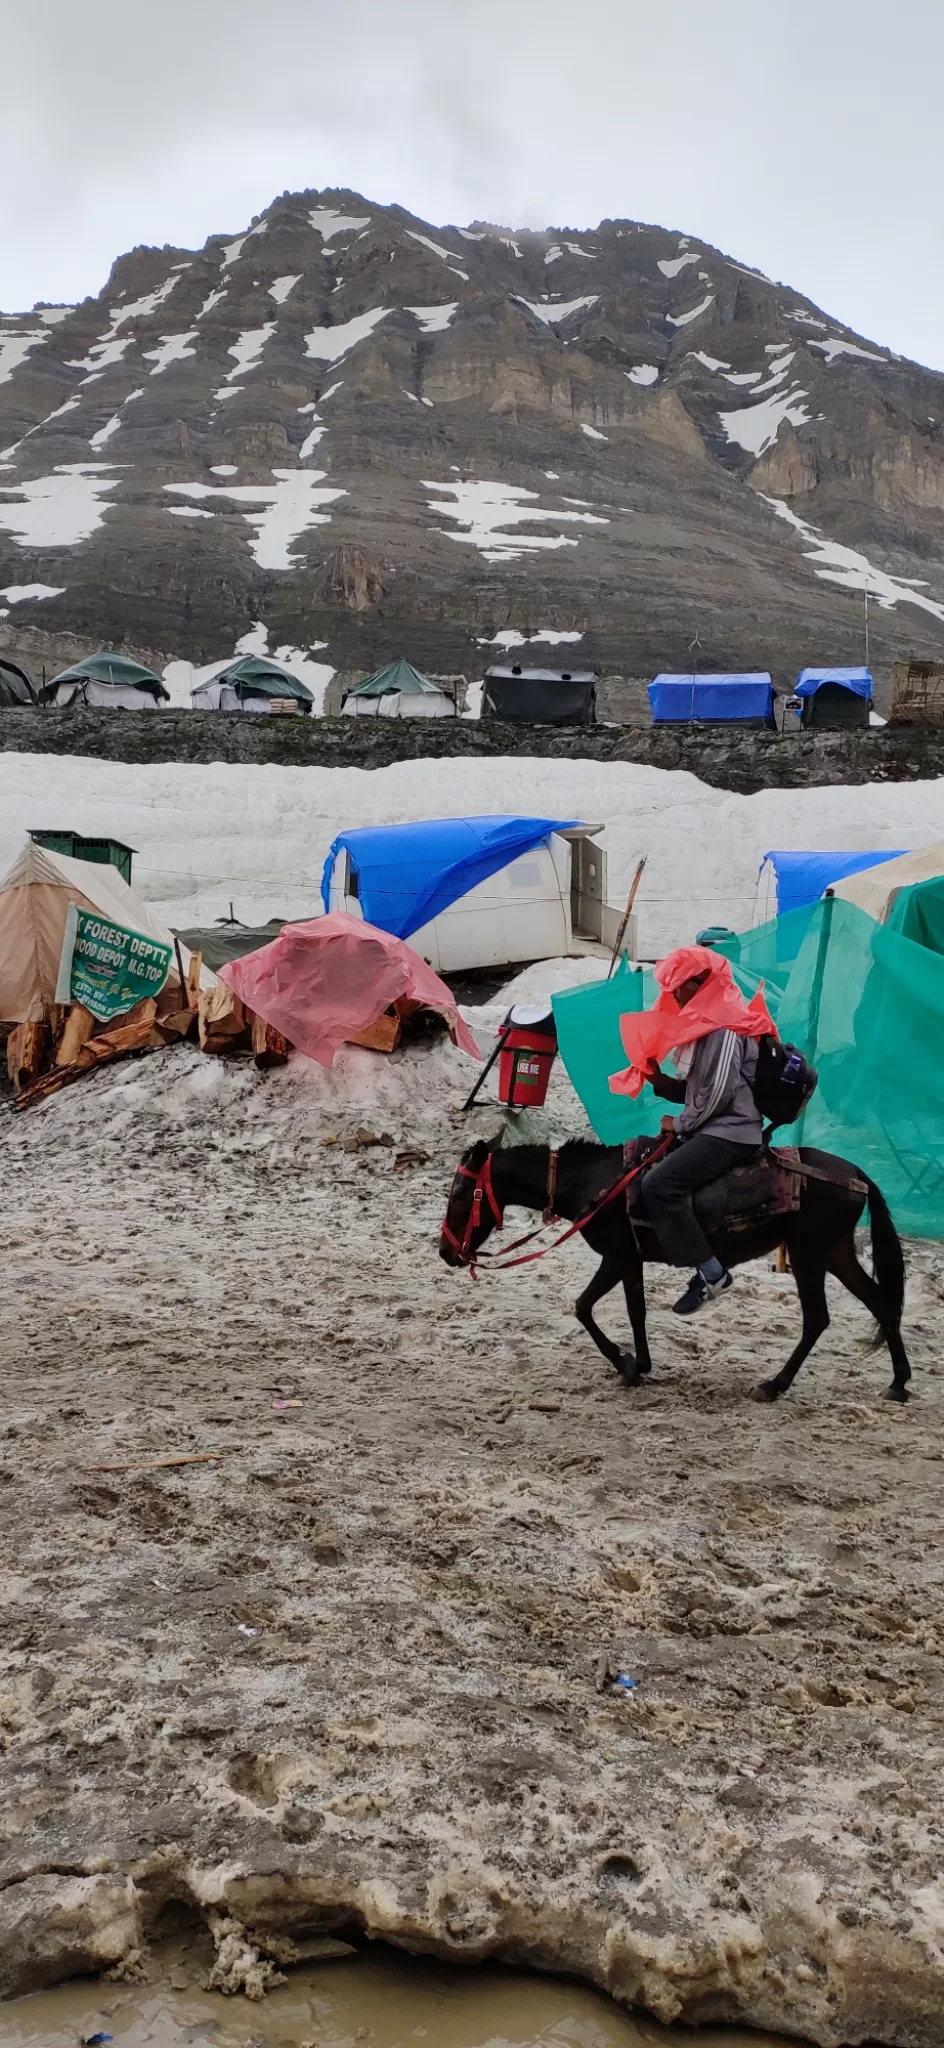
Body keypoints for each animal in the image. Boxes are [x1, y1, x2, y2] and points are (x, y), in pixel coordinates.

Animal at [438, 1138, 909, 1409]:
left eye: (460, 1193)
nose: (445, 1253)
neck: (594, 1180)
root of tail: (856, 1175)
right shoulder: (630, 1262)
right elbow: (636, 1311)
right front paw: (640, 1365)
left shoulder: (617, 1257)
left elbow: (583, 1307)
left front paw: (623, 1361)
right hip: (835, 1252)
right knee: (881, 1303)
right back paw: (899, 1382)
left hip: (809, 1254)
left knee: (817, 1319)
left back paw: (774, 1385)